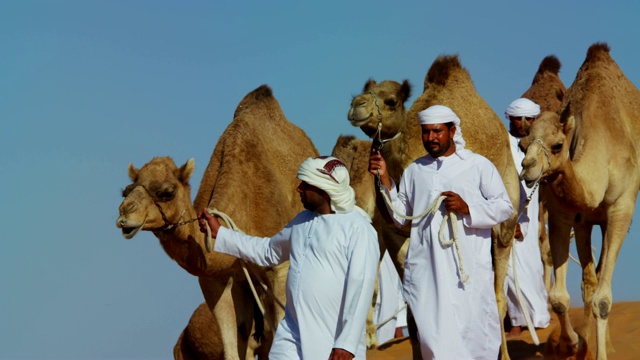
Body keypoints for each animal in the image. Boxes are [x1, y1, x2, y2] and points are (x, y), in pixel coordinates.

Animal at [116, 85, 318, 360]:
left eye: (167, 192)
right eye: (126, 191)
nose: (124, 215)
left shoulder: (278, 268)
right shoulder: (218, 279)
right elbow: (234, 347)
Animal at [520, 43, 640, 360]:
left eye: (557, 145)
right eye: (523, 145)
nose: (527, 168)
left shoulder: (621, 208)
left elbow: (603, 300)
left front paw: (599, 353)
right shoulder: (564, 212)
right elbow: (559, 298)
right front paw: (573, 343)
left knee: (597, 281)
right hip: (586, 223)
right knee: (590, 280)